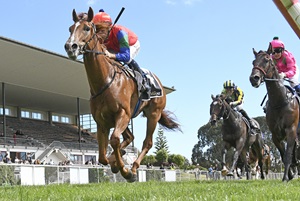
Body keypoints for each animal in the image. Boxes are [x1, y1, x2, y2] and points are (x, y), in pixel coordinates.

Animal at [64, 7, 180, 182]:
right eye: (70, 29)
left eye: (87, 28)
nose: (71, 46)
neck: (104, 81)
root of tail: (159, 82)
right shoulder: (102, 122)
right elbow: (102, 156)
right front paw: (115, 163)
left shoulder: (122, 114)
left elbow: (114, 140)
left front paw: (126, 171)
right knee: (129, 138)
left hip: (153, 114)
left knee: (147, 142)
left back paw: (133, 168)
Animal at [248, 48, 300, 182]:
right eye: (253, 62)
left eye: (267, 60)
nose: (254, 78)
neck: (280, 101)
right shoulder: (275, 135)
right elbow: (283, 154)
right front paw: (290, 175)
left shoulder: (291, 130)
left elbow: (288, 155)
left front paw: (286, 177)